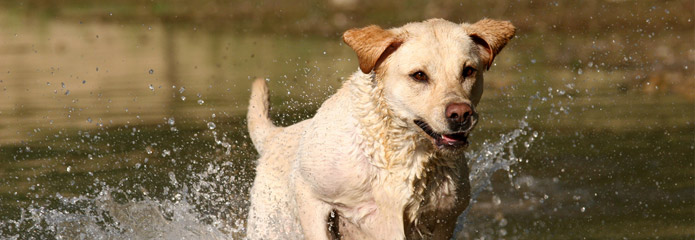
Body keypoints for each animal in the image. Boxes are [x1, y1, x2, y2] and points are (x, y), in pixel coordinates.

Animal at [247, 17, 512, 239]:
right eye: (419, 75)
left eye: (468, 71)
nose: (461, 114)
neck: (402, 148)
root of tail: (275, 135)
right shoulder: (310, 193)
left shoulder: (443, 218)